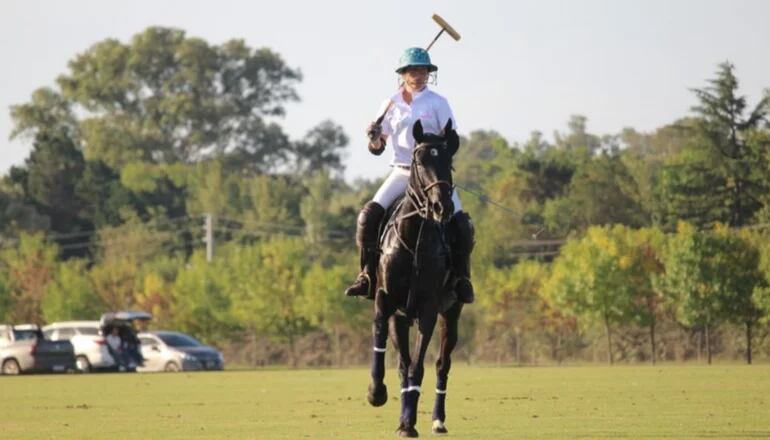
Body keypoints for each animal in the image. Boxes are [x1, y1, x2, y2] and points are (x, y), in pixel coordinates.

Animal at [366, 117, 462, 436]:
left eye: (449, 160)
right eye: (419, 161)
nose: (442, 207)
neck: (414, 239)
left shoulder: (429, 308)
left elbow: (418, 367)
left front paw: (409, 422)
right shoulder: (386, 301)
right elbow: (383, 344)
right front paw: (376, 393)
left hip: (452, 312)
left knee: (442, 364)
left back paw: (437, 420)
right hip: (401, 317)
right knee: (401, 364)